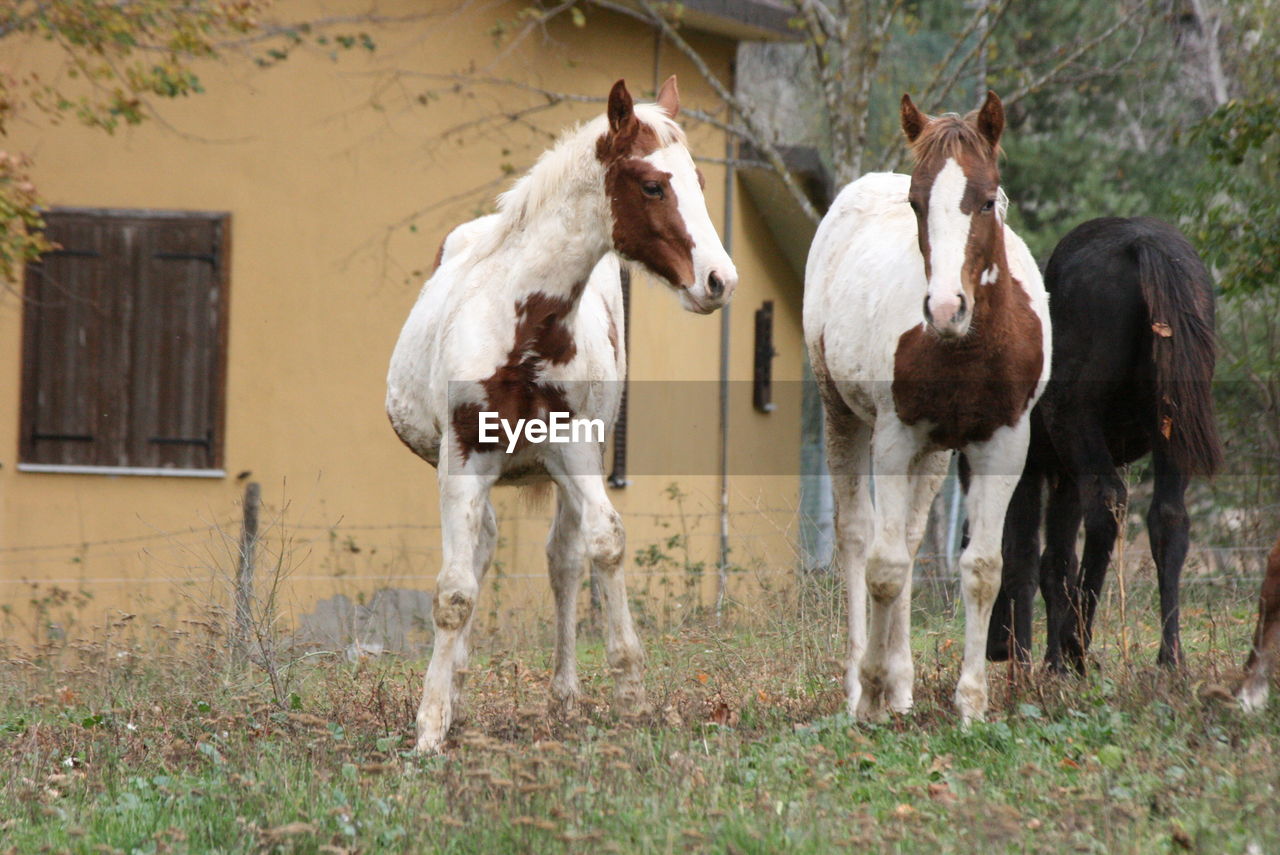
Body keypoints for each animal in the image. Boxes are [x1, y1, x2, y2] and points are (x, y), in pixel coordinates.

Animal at [384, 76, 737, 752]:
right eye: (653, 185)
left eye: (701, 180)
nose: (719, 281)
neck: (522, 327)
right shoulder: (461, 458)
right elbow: (455, 592)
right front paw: (430, 726)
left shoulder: (573, 446)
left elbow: (604, 544)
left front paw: (629, 693)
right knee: (482, 553)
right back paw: (458, 687)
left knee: (561, 558)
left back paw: (563, 695)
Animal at [983, 217, 1223, 670]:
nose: (995, 648)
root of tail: (1144, 244)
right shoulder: (1060, 472)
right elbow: (1055, 562)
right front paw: (1049, 662)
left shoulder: (1029, 466)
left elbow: (1020, 555)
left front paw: (1026, 660)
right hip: (1171, 421)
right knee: (1168, 516)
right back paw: (1169, 656)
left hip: (1076, 416)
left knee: (1108, 499)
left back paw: (1077, 644)